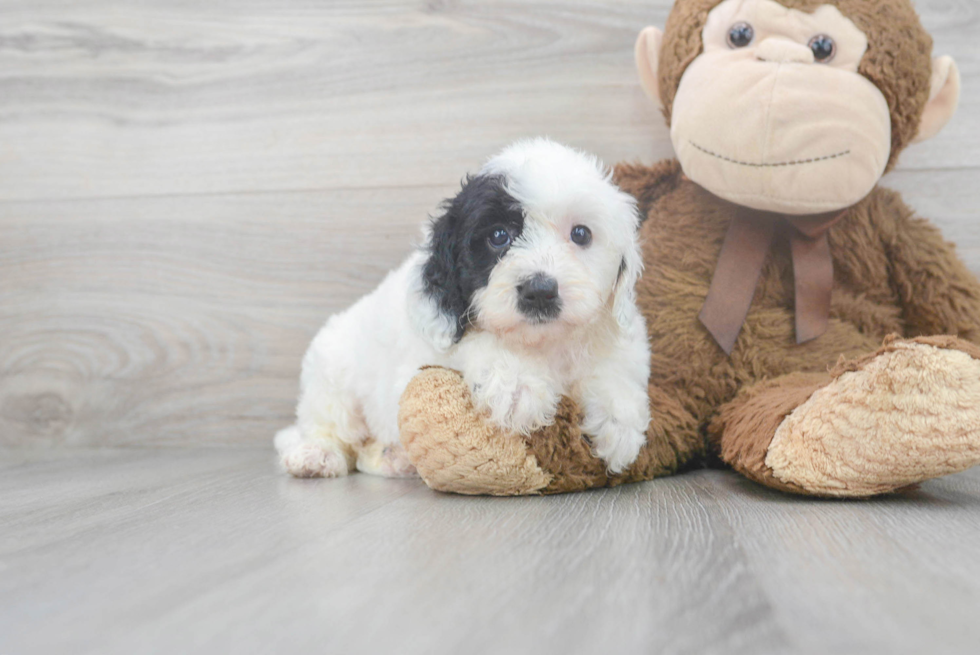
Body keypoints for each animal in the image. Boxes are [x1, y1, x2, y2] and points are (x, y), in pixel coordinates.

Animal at [276, 138, 652, 476]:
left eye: (581, 234)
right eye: (498, 236)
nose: (540, 291)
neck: (543, 343)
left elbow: (614, 367)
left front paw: (618, 420)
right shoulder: (425, 350)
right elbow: (475, 341)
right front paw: (517, 383)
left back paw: (393, 458)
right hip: (331, 374)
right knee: (331, 427)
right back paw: (317, 454)